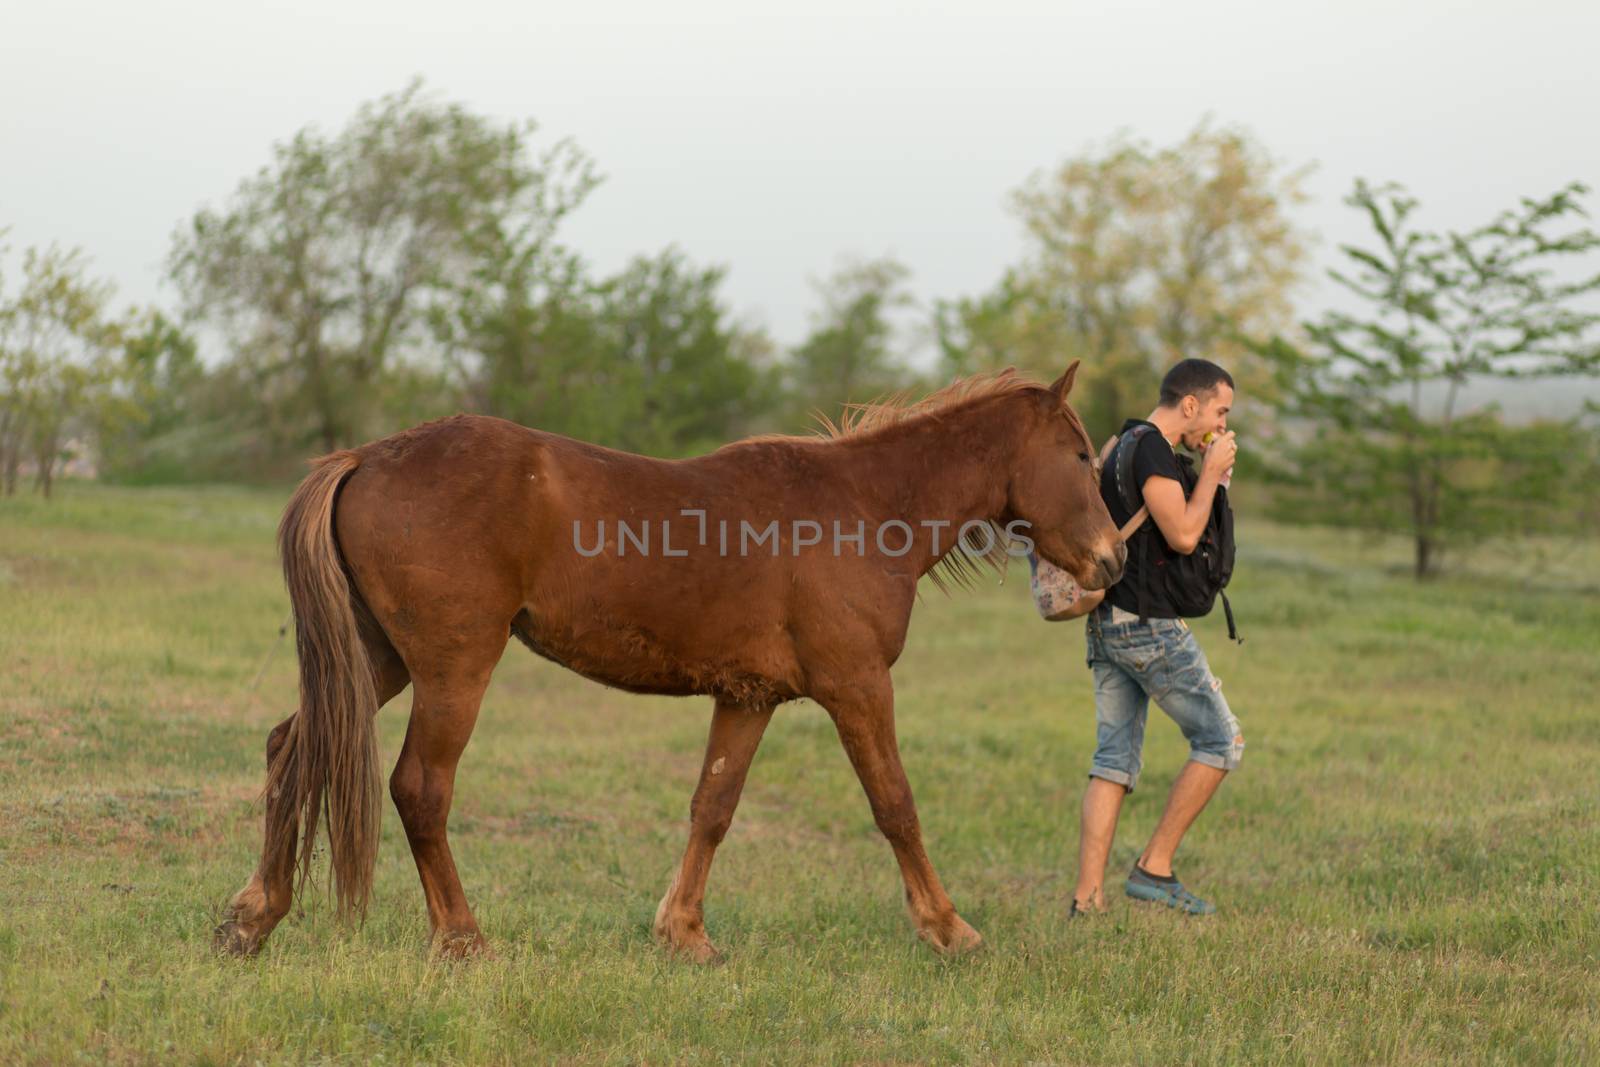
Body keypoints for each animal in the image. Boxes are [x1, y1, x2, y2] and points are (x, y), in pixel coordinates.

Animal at [212, 363, 1120, 966]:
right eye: (1080, 455)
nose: (1112, 559)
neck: (863, 507)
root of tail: (365, 457)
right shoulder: (858, 687)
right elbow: (895, 804)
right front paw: (946, 925)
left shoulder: (749, 697)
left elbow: (711, 808)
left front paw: (684, 931)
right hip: (451, 670)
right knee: (419, 788)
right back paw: (462, 939)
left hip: (375, 661)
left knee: (292, 750)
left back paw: (253, 917)